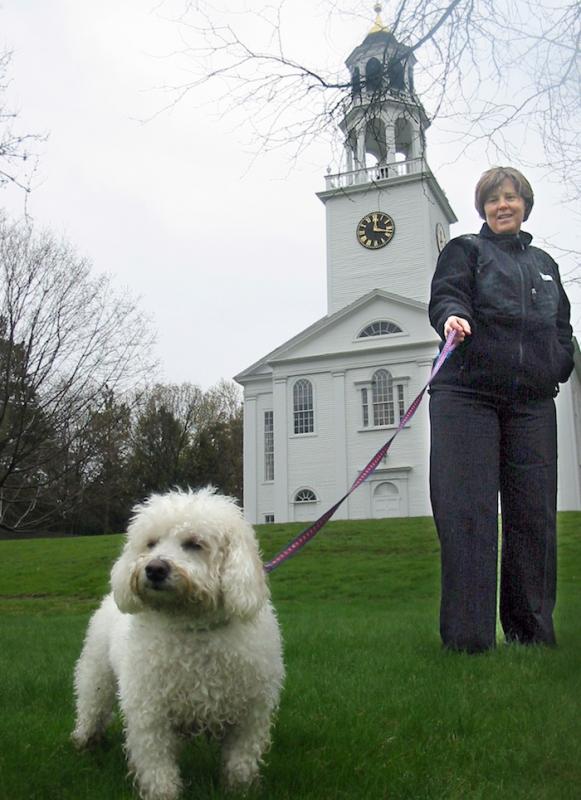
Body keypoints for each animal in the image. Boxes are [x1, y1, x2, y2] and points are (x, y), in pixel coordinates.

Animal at [71, 488, 284, 800]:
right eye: (151, 543)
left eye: (195, 544)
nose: (154, 568)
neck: (194, 628)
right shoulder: (150, 712)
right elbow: (156, 763)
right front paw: (163, 792)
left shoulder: (250, 713)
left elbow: (240, 760)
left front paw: (239, 789)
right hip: (97, 676)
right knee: (91, 708)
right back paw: (83, 742)